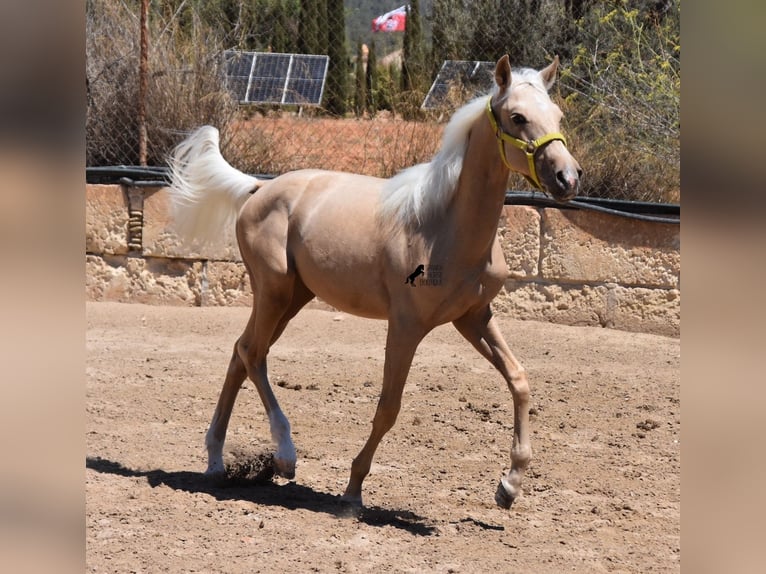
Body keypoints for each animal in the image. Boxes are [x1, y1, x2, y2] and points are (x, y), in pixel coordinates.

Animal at [170, 56, 584, 510]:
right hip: (274, 293)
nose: (567, 178)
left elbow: (519, 380)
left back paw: (216, 462)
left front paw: (509, 486)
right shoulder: (405, 327)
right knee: (252, 354)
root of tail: (259, 187)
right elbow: (389, 406)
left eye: (558, 116)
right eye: (518, 117)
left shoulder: (474, 317)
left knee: (240, 355)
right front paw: (352, 489)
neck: (443, 226)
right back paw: (284, 456)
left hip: (292, 297)